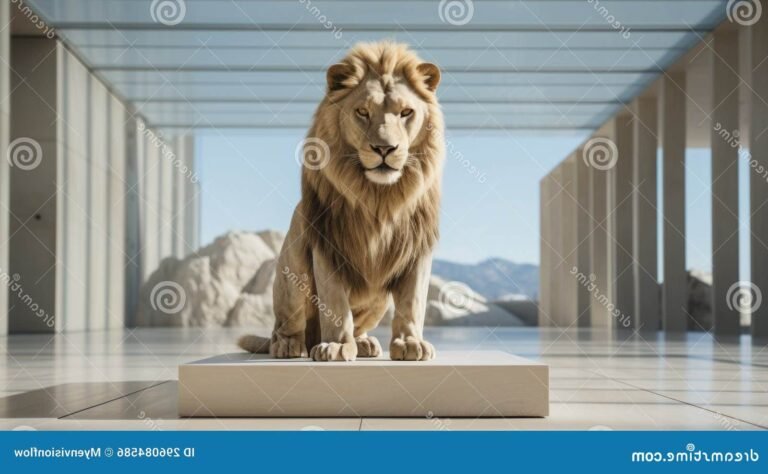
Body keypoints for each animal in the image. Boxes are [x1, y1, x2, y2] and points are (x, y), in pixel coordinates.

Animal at [238, 41, 444, 362]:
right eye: (362, 111)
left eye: (406, 112)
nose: (384, 148)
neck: (379, 197)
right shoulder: (327, 241)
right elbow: (335, 303)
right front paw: (335, 346)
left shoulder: (417, 247)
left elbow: (413, 303)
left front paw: (411, 343)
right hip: (293, 265)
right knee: (286, 326)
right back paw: (288, 345)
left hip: (379, 300)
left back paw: (363, 343)